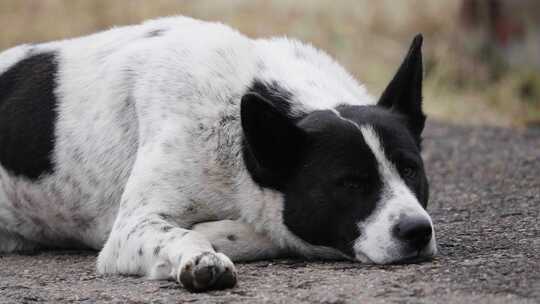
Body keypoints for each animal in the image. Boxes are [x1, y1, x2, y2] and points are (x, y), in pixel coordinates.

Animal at [0, 16, 436, 292]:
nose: (417, 231)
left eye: (411, 170)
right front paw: (202, 256)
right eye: (349, 183)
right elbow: (188, 234)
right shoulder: (129, 231)